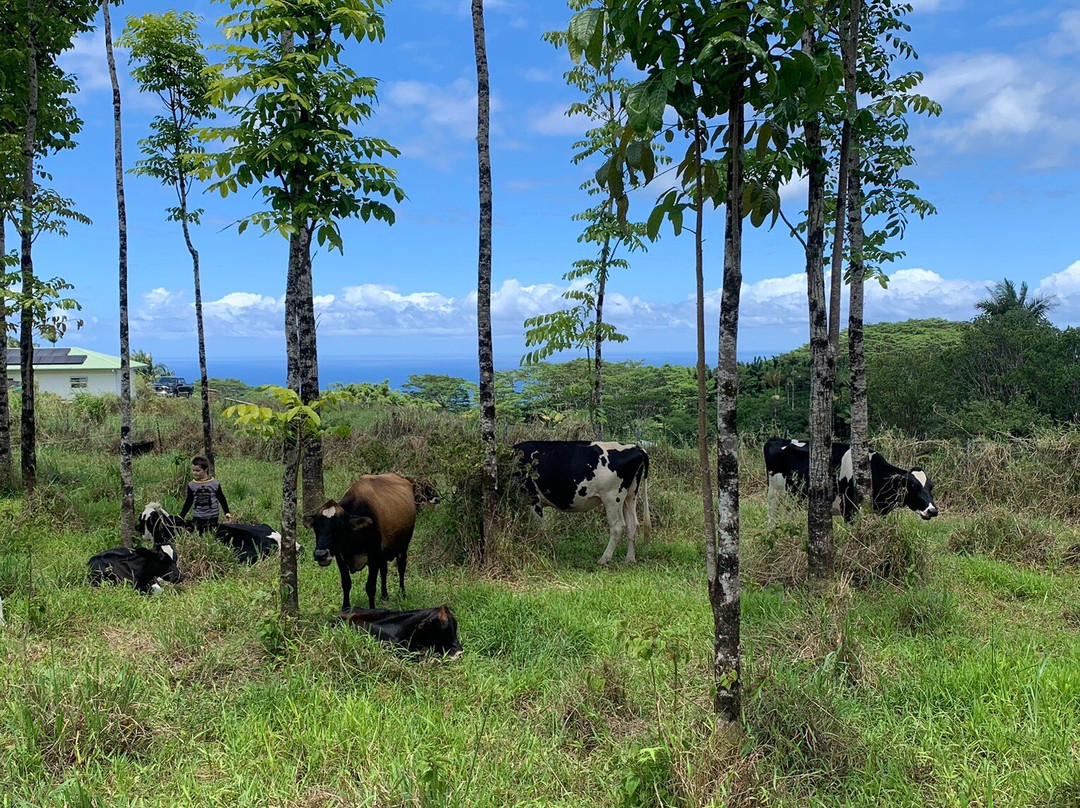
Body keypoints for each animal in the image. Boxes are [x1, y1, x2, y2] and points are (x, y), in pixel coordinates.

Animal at [308, 470, 421, 609]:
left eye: (340, 527)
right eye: (316, 527)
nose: (320, 554)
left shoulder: (374, 557)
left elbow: (370, 587)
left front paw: (372, 609)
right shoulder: (341, 557)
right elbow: (346, 583)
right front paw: (345, 607)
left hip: (404, 545)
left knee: (401, 567)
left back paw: (402, 593)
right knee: (384, 570)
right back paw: (384, 595)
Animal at [511, 438, 652, 566]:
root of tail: (635, 447)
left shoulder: (532, 498)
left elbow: (542, 527)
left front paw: (547, 548)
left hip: (612, 497)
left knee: (617, 526)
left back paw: (604, 559)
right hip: (630, 496)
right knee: (632, 524)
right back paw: (629, 559)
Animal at [764, 438, 941, 527]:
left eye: (931, 487)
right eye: (912, 486)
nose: (933, 510)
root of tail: (776, 439)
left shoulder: (880, 510)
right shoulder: (849, 509)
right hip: (774, 494)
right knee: (772, 516)